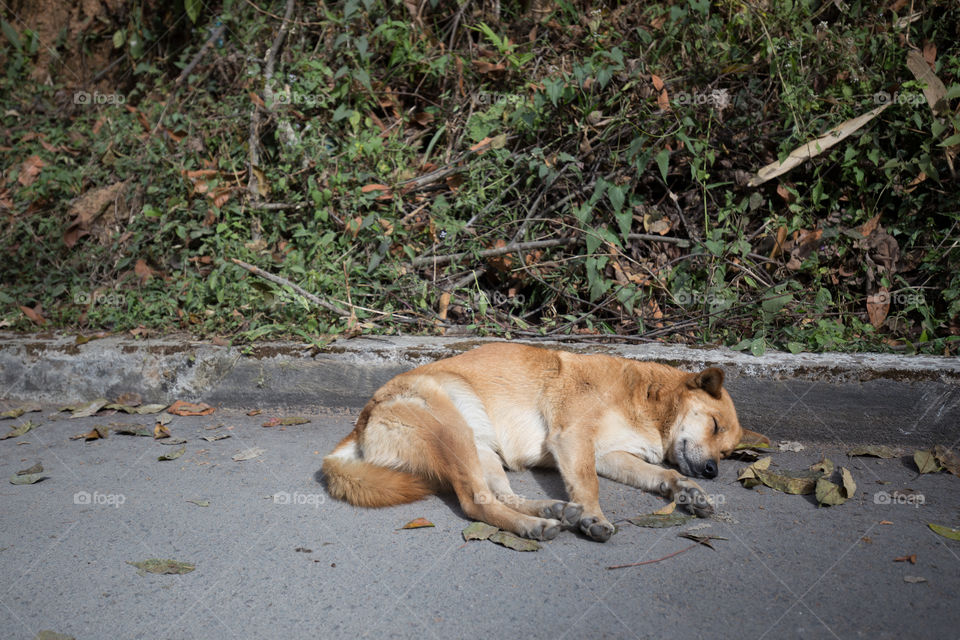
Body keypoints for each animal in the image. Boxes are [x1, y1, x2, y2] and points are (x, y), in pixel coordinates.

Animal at [322, 342, 764, 544]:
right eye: (714, 425)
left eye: (727, 452)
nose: (713, 471)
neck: (645, 401)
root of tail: (362, 422)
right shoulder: (574, 439)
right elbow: (588, 486)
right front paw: (593, 517)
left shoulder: (611, 456)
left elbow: (663, 474)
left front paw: (689, 492)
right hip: (453, 433)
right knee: (476, 502)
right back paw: (534, 525)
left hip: (482, 451)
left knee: (499, 495)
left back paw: (550, 510)